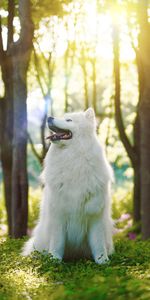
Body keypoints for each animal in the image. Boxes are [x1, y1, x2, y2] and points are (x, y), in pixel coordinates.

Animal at [22, 109, 113, 264]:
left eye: (69, 120)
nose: (49, 117)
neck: (73, 158)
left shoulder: (95, 215)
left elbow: (98, 243)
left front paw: (103, 261)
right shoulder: (58, 214)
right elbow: (57, 242)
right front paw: (54, 260)